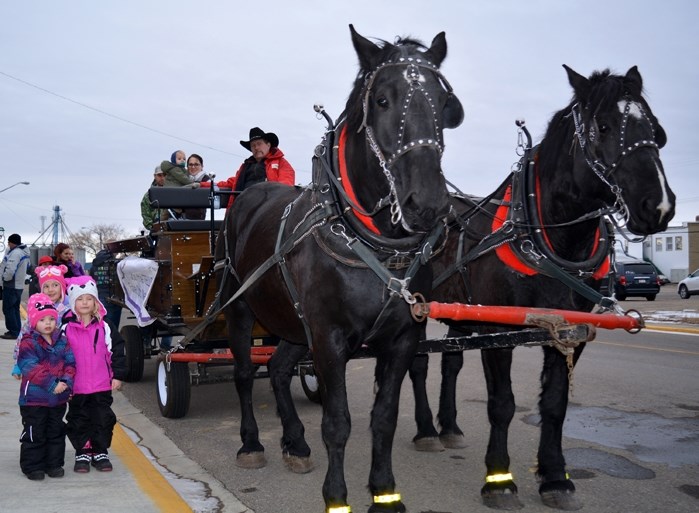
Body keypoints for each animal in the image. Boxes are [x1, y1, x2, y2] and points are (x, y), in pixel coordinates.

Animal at [219, 27, 464, 512]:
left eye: (445, 104)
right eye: (382, 100)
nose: (428, 205)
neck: (371, 242)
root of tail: (249, 194)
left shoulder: (402, 337)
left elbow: (384, 418)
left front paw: (384, 492)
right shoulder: (329, 338)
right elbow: (338, 422)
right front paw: (336, 496)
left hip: (293, 323)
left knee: (278, 369)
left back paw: (295, 442)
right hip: (242, 308)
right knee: (243, 373)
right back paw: (252, 443)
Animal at [410, 66, 672, 510]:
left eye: (657, 129)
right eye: (603, 126)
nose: (659, 206)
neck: (548, 237)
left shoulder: (570, 330)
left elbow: (555, 404)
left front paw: (555, 478)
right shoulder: (499, 331)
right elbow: (502, 404)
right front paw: (499, 480)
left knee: (450, 361)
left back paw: (449, 427)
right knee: (416, 363)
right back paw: (427, 430)